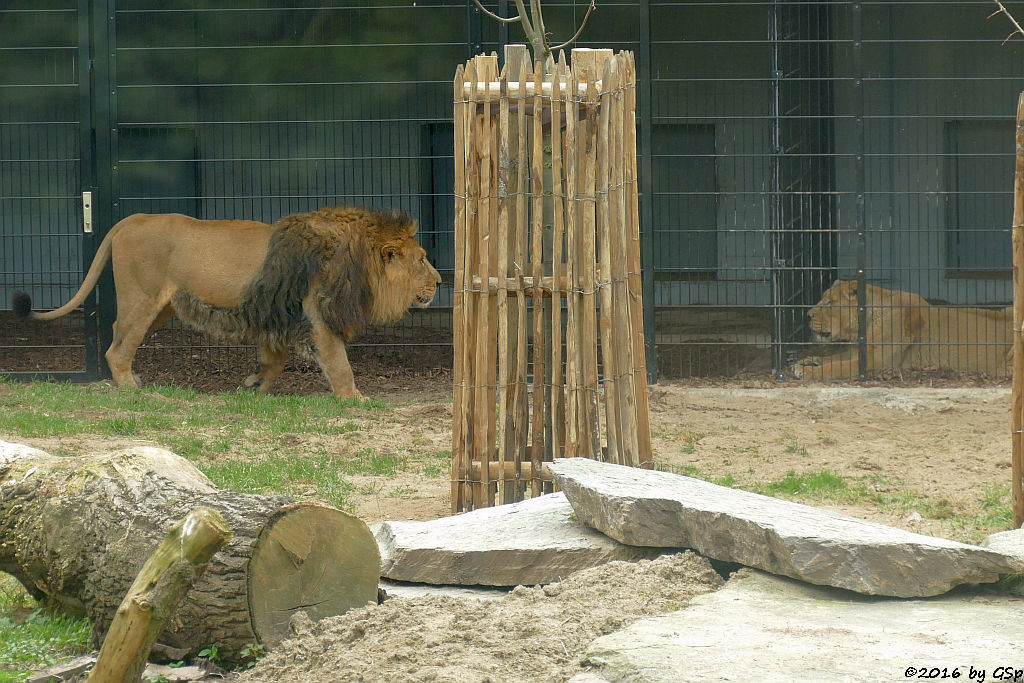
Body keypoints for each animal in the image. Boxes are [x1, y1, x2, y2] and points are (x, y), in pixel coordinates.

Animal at [12, 205, 440, 397]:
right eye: (421, 259)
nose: (439, 281)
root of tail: (133, 218)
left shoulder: (275, 314)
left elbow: (274, 361)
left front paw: (254, 386)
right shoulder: (319, 316)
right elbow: (339, 364)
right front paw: (356, 399)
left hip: (161, 306)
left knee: (117, 334)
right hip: (143, 299)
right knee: (117, 349)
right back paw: (131, 387)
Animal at [786, 280, 1011, 382]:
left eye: (831, 302)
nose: (807, 315)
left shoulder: (876, 362)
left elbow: (835, 367)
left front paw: (808, 371)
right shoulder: (857, 352)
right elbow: (832, 359)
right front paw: (806, 360)